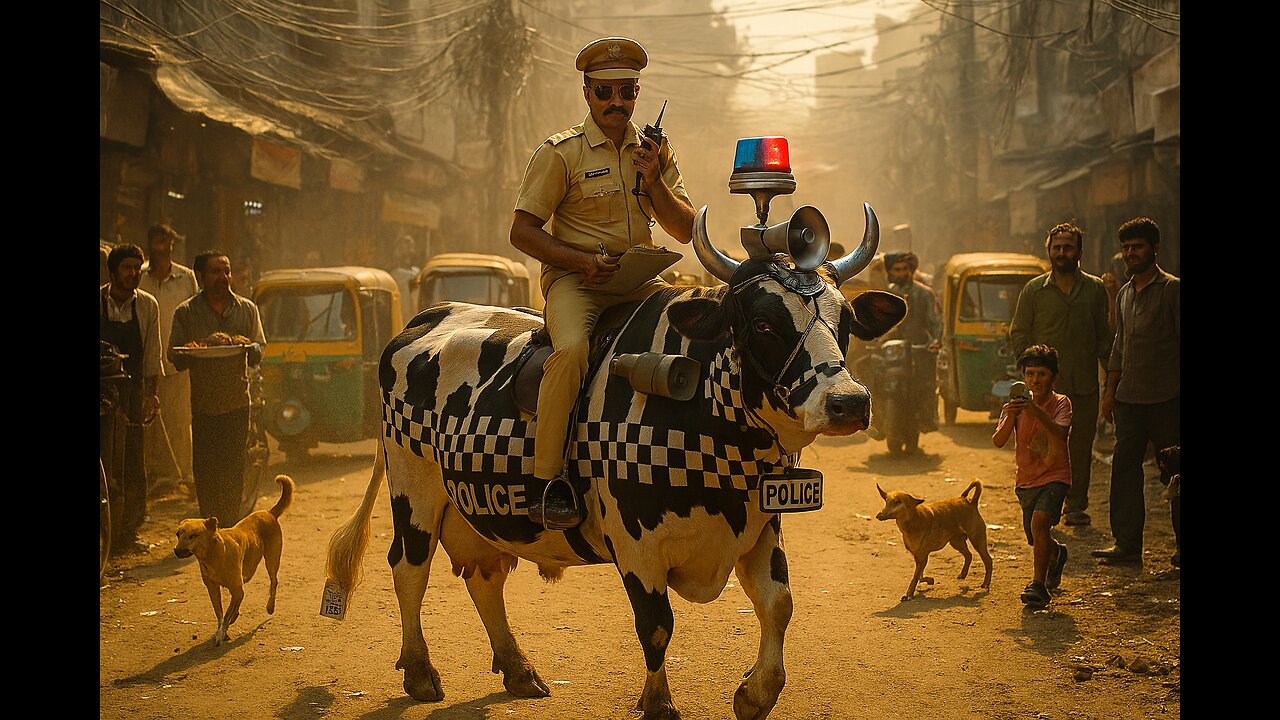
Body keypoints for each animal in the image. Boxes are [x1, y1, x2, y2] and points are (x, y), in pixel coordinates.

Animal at [326, 204, 906, 720]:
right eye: (763, 324)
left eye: (846, 321)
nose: (848, 402)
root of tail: (430, 316)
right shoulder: (637, 545)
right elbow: (657, 625)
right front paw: (659, 704)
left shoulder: (760, 524)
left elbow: (778, 604)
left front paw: (755, 694)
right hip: (413, 487)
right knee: (408, 568)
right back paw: (420, 671)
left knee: (485, 576)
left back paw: (518, 669)